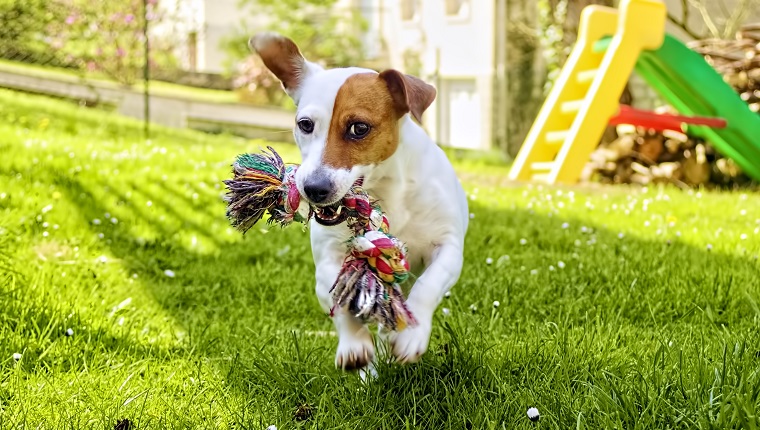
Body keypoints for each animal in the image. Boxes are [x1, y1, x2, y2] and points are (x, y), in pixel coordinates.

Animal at [249, 32, 470, 370]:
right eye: (305, 124)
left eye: (359, 128)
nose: (314, 188)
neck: (388, 194)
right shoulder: (329, 257)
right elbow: (339, 294)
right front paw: (354, 343)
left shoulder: (447, 246)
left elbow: (428, 284)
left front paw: (412, 335)